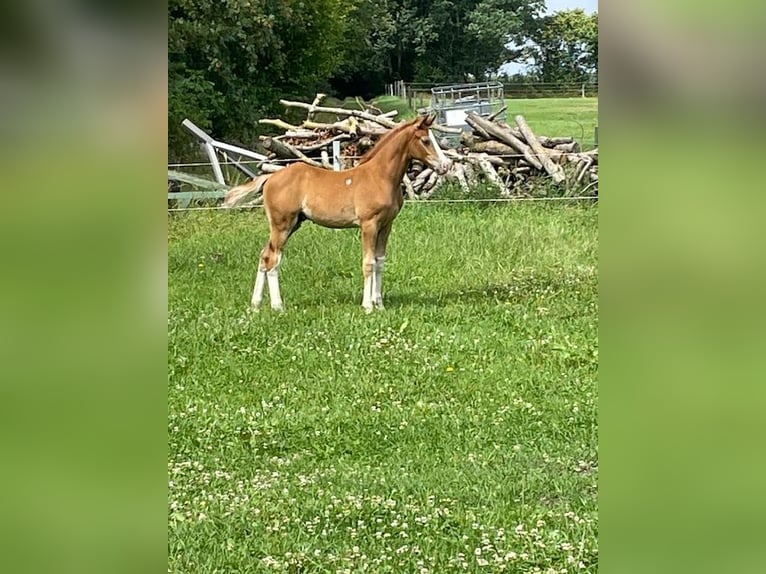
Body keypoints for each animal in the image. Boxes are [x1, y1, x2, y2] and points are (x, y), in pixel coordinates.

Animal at [223, 113, 451, 312]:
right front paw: (368, 307)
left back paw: (255, 305)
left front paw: (380, 305)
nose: (446, 166)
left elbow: (380, 262)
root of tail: (271, 177)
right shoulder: (368, 224)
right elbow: (368, 263)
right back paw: (278, 307)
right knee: (273, 259)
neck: (380, 177)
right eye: (425, 141)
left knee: (264, 255)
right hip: (282, 224)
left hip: (293, 224)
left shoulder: (386, 225)